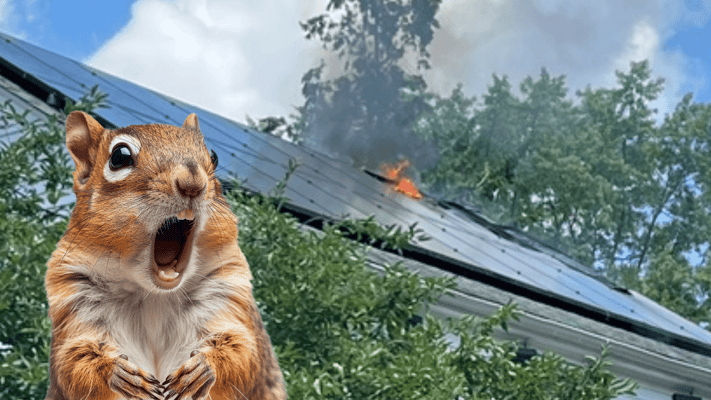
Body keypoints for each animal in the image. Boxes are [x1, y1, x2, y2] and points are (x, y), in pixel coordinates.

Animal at [44, 111, 287, 400]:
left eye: (213, 156)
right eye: (119, 157)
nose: (193, 183)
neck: (154, 295)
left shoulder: (226, 294)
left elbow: (244, 352)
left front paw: (204, 367)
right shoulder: (75, 302)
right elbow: (73, 362)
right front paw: (116, 372)